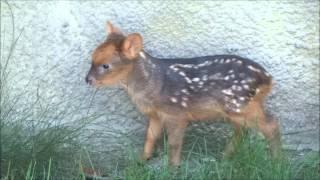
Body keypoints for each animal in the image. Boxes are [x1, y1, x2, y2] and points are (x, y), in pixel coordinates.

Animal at [86, 21, 282, 166]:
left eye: (106, 65)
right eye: (91, 59)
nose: (87, 79)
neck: (151, 84)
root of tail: (268, 79)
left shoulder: (177, 113)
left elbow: (174, 143)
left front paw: (173, 168)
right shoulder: (156, 115)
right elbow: (150, 137)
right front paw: (141, 161)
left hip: (240, 104)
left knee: (270, 124)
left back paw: (278, 162)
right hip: (238, 108)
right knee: (243, 130)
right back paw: (224, 158)